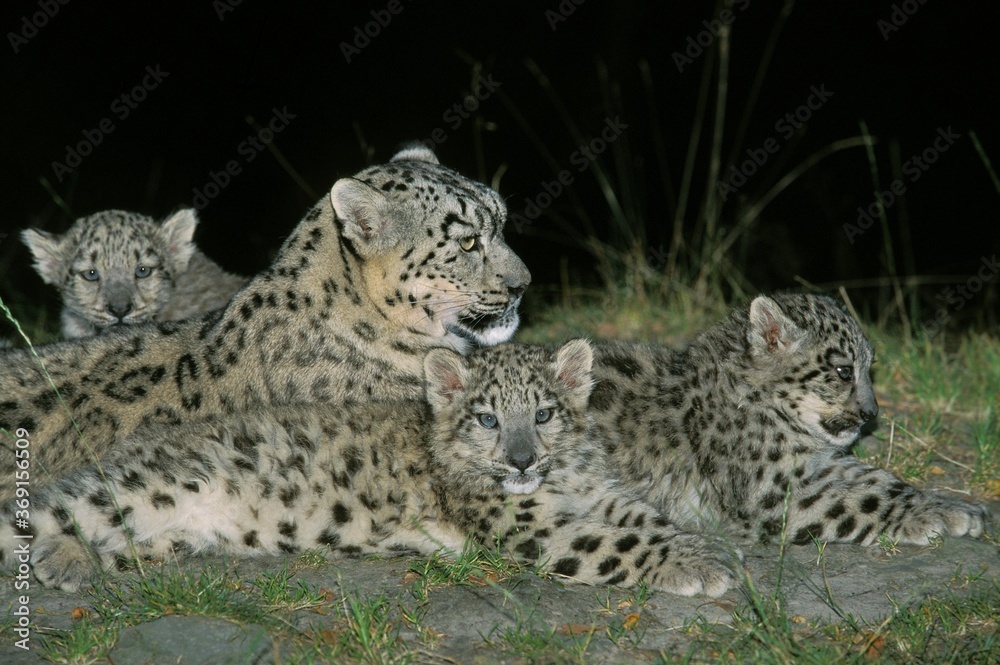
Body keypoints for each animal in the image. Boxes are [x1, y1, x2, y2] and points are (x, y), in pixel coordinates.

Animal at [1, 341, 742, 597]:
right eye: (487, 419)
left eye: (545, 413)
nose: (521, 459)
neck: (562, 484)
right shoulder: (530, 523)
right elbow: (617, 542)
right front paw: (699, 569)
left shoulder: (602, 492)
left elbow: (643, 517)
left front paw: (701, 549)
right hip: (134, 488)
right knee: (42, 511)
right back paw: (58, 558)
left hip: (165, 527)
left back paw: (79, 562)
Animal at [590, 293, 988, 548]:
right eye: (844, 371)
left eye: (870, 367)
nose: (871, 413)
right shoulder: (769, 494)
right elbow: (861, 500)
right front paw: (935, 517)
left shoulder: (816, 464)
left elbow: (879, 479)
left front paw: (951, 505)